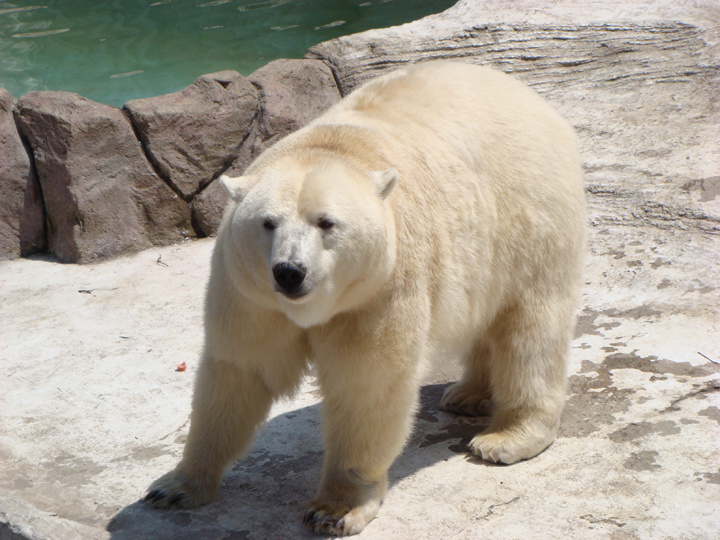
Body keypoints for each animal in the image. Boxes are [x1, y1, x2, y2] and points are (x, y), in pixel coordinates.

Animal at [145, 61, 584, 532]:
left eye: (326, 222)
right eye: (267, 222)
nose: (289, 272)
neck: (333, 146)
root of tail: (527, 95)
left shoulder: (380, 286)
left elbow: (366, 383)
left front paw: (334, 510)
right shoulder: (250, 294)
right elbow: (239, 370)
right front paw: (174, 487)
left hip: (528, 217)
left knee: (530, 328)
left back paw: (504, 437)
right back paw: (467, 393)